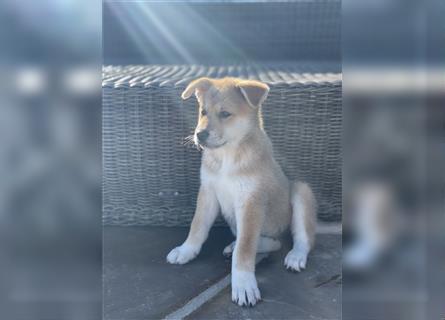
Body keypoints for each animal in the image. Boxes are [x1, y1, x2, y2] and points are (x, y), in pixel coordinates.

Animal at [166, 77, 316, 308]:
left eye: (225, 114)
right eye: (203, 112)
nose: (199, 135)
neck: (228, 156)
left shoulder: (250, 201)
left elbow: (245, 249)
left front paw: (243, 284)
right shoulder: (208, 192)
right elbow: (198, 226)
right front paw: (186, 250)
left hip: (301, 191)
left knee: (300, 239)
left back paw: (295, 256)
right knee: (269, 242)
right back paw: (234, 245)